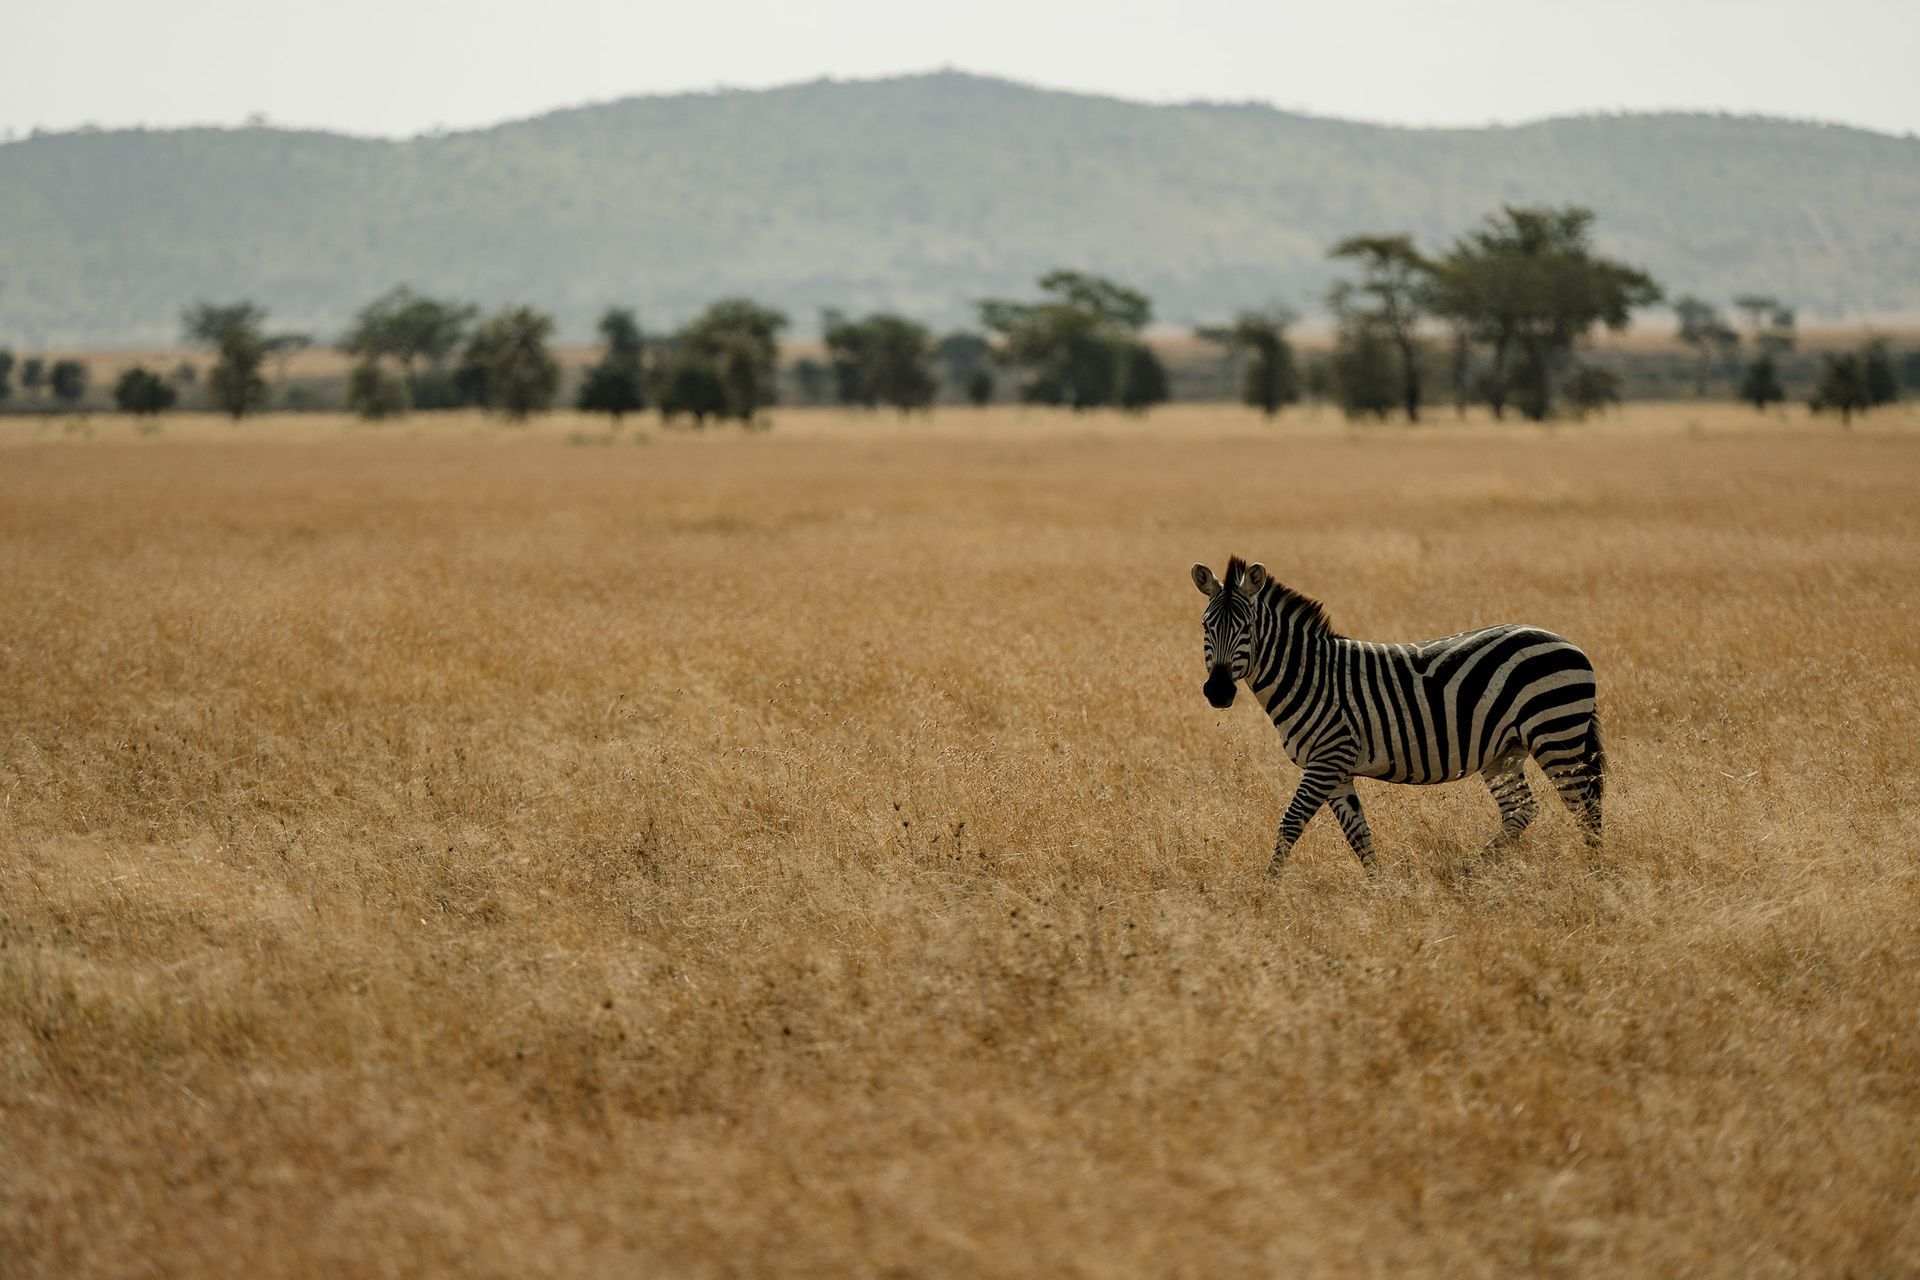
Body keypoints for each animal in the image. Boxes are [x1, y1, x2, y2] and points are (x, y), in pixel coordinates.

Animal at [1191, 556, 1604, 874]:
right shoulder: (1335, 768)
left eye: (1247, 627)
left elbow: (1291, 823)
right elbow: (1358, 833)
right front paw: (1380, 889)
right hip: (1505, 751)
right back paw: (1471, 869)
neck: (1308, 676)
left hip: (1556, 734)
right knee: (1521, 809)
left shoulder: (1327, 758)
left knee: (1586, 806)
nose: (1218, 691)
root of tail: (1568, 642)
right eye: (1206, 626)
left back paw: (1595, 877)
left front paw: (1267, 891)